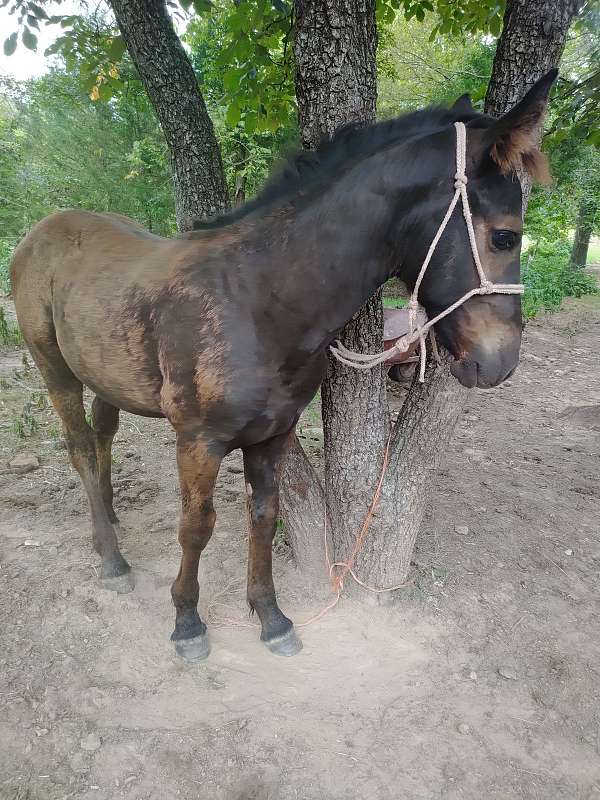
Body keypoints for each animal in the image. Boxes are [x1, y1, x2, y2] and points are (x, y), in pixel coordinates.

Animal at [9, 70, 556, 664]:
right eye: (504, 235)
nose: (499, 363)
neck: (257, 299)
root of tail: (38, 233)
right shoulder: (198, 440)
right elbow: (196, 526)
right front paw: (187, 623)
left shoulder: (274, 435)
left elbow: (265, 518)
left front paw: (270, 616)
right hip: (53, 368)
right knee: (81, 447)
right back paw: (111, 560)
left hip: (106, 374)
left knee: (103, 434)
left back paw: (107, 521)